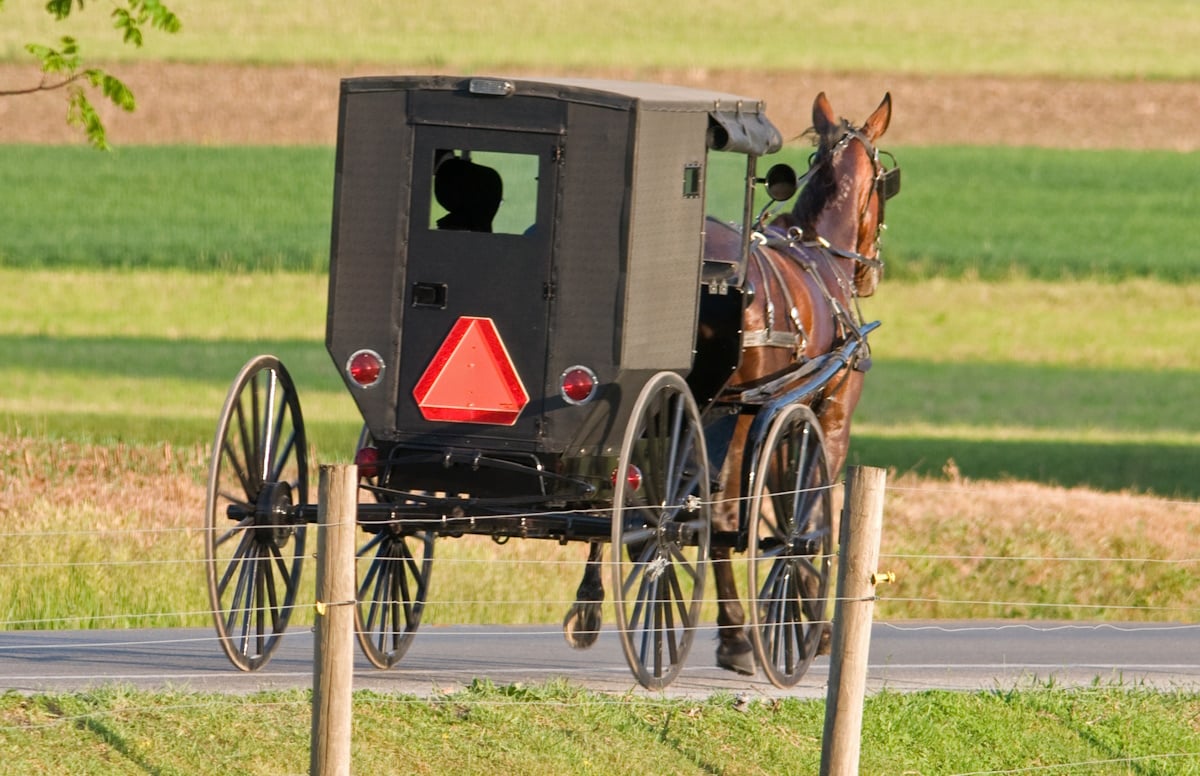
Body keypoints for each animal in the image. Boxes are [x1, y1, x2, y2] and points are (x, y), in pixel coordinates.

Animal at [561, 92, 896, 674]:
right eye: (885, 181)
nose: (871, 271)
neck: (820, 252)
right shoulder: (827, 416)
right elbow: (810, 507)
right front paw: (812, 622)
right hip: (733, 415)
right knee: (714, 516)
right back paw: (737, 633)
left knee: (631, 497)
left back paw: (596, 603)